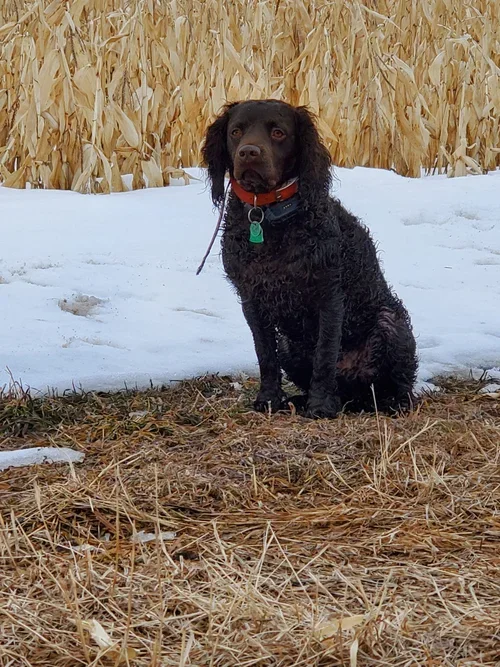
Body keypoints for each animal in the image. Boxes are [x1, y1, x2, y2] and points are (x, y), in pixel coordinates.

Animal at [202, 100, 418, 418]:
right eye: (236, 131)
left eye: (278, 132)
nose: (249, 152)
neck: (268, 220)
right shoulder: (252, 299)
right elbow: (265, 356)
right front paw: (269, 400)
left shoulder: (329, 296)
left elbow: (324, 356)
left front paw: (321, 406)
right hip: (289, 345)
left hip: (390, 324)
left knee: (398, 387)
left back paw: (391, 402)